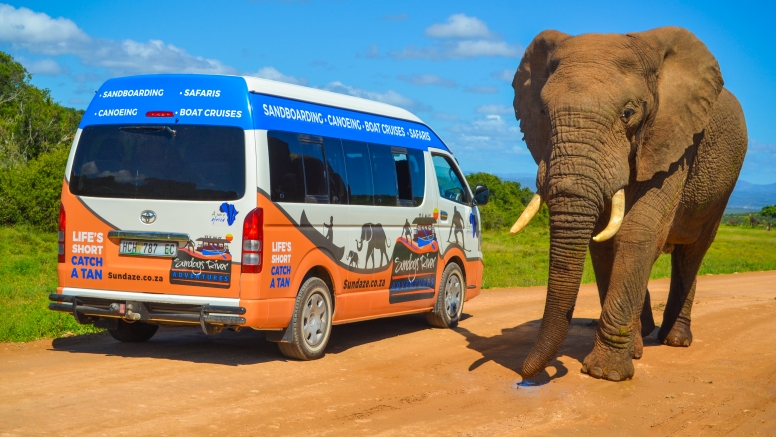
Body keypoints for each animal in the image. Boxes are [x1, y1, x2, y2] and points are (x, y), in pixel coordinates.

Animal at [510, 26, 744, 382]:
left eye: (628, 114)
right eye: (543, 113)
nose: (525, 375)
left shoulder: (676, 141)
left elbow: (639, 230)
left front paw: (605, 373)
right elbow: (603, 241)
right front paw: (629, 353)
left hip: (723, 185)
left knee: (692, 252)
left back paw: (676, 340)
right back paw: (644, 334)